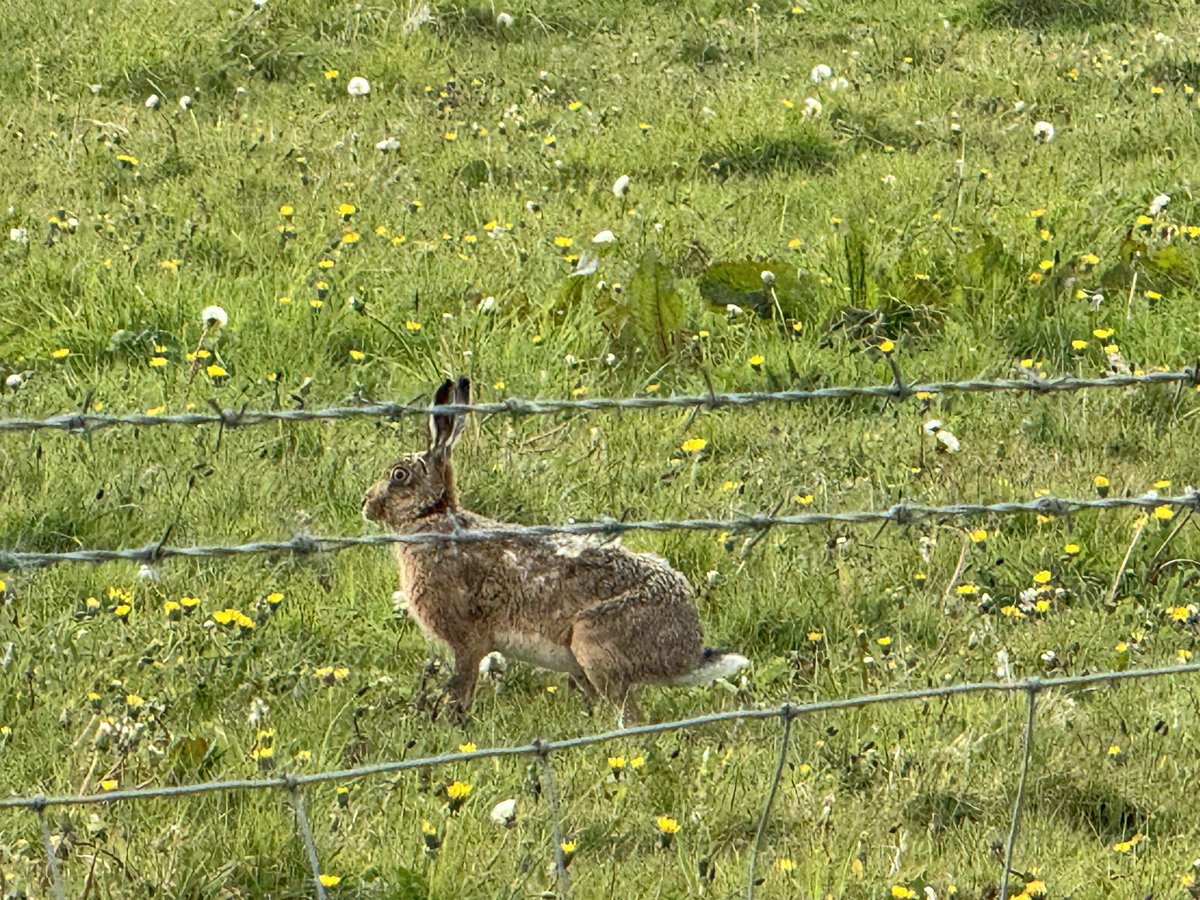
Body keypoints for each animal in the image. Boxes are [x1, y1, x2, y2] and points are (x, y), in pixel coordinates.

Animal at [362, 377, 748, 724]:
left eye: (399, 475)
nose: (365, 503)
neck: (434, 517)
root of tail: (687, 650)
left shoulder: (467, 643)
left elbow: (461, 688)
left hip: (595, 648)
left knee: (631, 717)